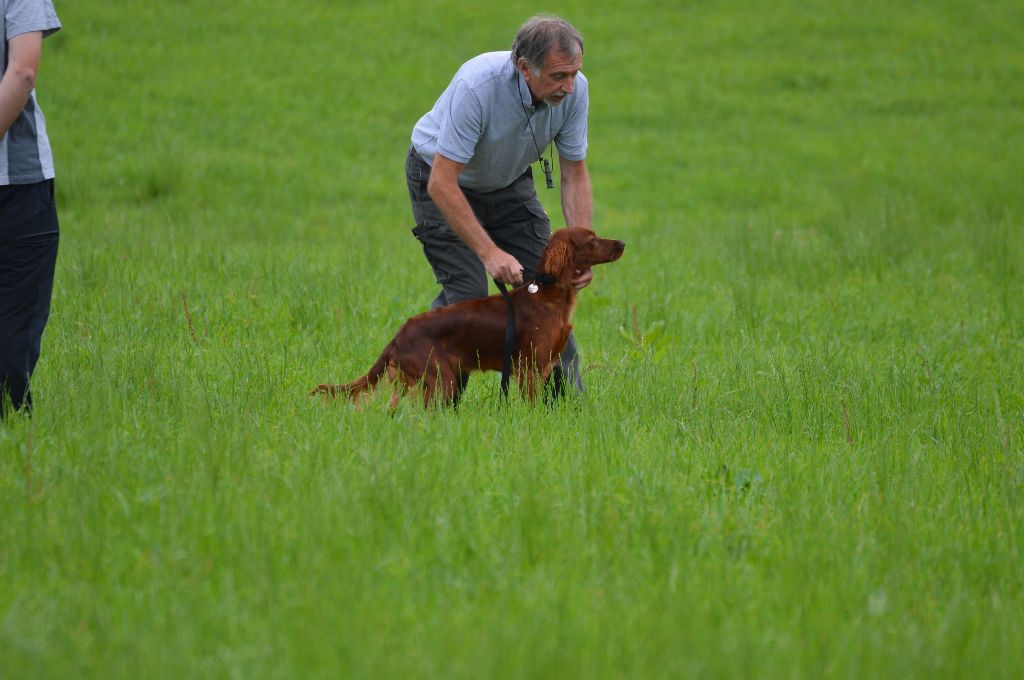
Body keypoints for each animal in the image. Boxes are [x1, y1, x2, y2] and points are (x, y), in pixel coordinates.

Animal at [313, 228, 622, 409]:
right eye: (592, 240)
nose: (622, 242)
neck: (547, 294)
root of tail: (398, 336)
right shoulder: (530, 369)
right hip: (440, 380)